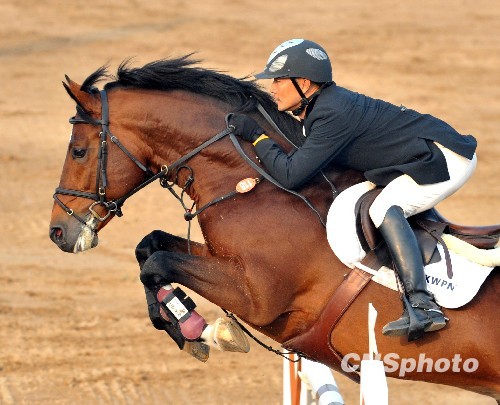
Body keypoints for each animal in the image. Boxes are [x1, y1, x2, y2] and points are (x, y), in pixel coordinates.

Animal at [49, 57, 500, 401]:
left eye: (79, 151)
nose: (58, 232)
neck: (252, 182)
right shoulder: (225, 261)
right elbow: (150, 248)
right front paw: (188, 327)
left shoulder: (256, 296)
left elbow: (157, 261)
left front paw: (205, 330)